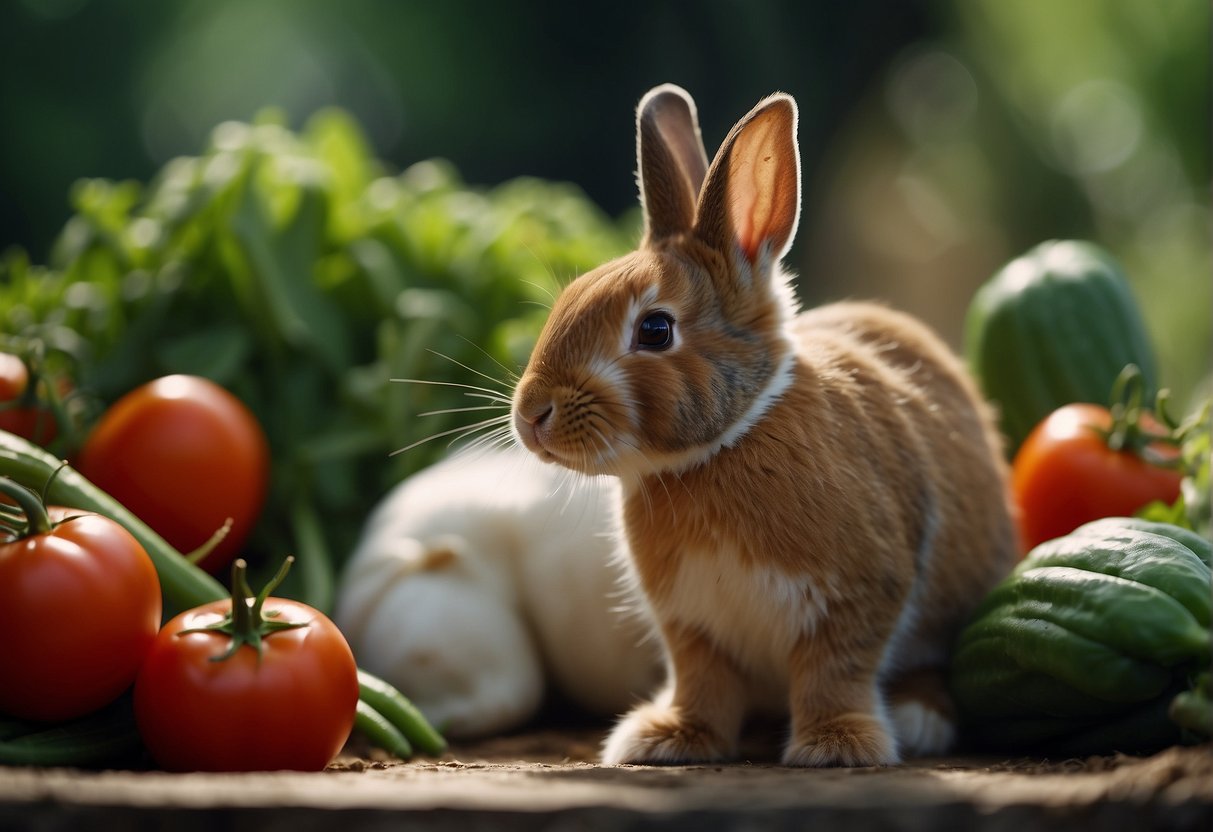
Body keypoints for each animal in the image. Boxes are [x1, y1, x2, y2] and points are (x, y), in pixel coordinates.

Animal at [507, 84, 1018, 771]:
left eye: (655, 330)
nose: (531, 416)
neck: (719, 449)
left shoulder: (855, 598)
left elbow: (835, 672)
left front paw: (837, 747)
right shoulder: (693, 626)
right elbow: (703, 684)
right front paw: (669, 740)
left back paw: (917, 719)